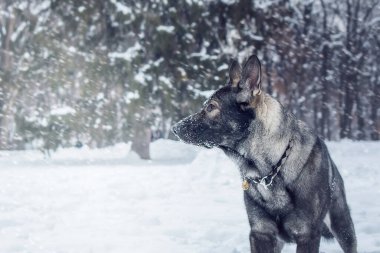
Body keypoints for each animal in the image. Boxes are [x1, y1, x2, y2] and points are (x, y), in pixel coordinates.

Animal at [172, 55, 356, 253]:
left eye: (211, 107)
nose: (174, 128)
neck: (271, 169)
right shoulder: (261, 233)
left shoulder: (308, 235)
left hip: (342, 226)